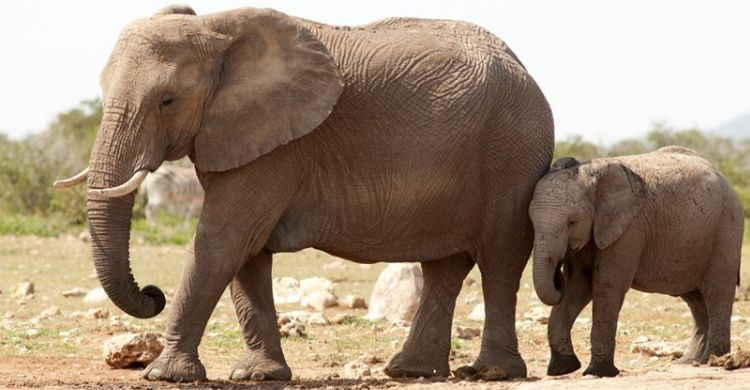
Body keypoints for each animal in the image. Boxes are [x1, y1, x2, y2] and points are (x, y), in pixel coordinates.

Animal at [55, 4, 556, 382]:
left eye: (167, 101)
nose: (152, 292)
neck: (217, 29)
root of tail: (523, 69)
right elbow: (246, 251)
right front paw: (259, 376)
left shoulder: (282, 146)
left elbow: (223, 240)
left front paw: (165, 375)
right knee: (445, 266)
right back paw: (411, 372)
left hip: (510, 153)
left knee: (499, 259)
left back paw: (492, 373)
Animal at [528, 147, 748, 378]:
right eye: (531, 222)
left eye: (572, 223)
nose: (558, 273)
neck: (591, 174)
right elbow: (577, 286)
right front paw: (562, 368)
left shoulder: (629, 229)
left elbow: (606, 286)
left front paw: (598, 372)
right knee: (695, 299)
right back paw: (691, 361)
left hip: (727, 229)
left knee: (717, 293)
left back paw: (715, 360)